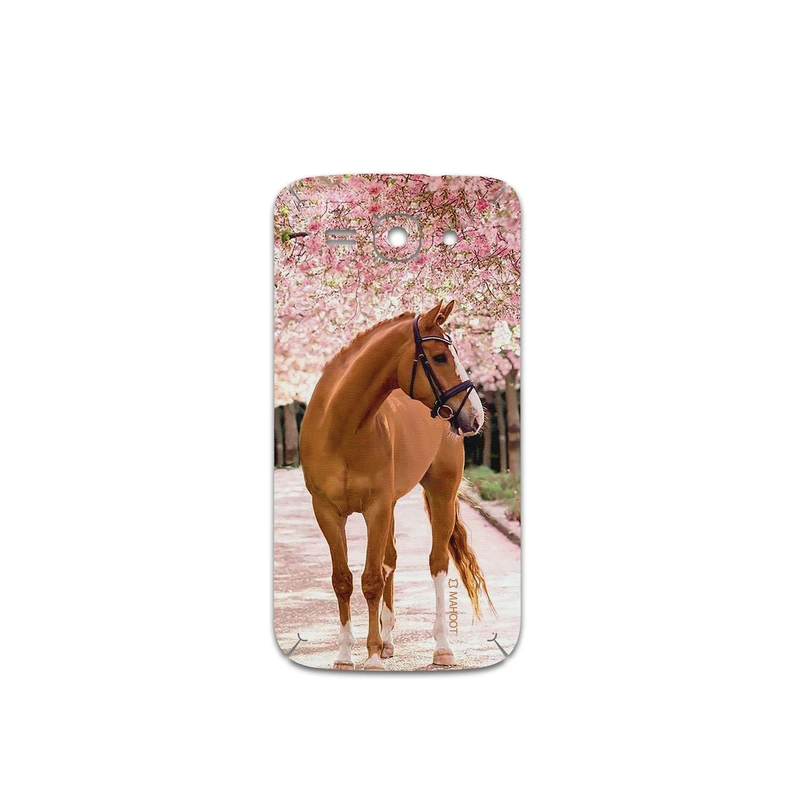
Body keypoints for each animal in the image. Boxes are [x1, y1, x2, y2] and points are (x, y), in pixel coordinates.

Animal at [299, 300, 493, 670]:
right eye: (440, 357)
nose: (475, 416)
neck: (341, 428)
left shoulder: (375, 508)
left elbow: (371, 579)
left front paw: (372, 656)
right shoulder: (327, 512)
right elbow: (343, 580)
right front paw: (345, 655)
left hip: (441, 494)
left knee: (436, 563)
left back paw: (441, 648)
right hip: (390, 505)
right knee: (390, 559)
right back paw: (389, 641)